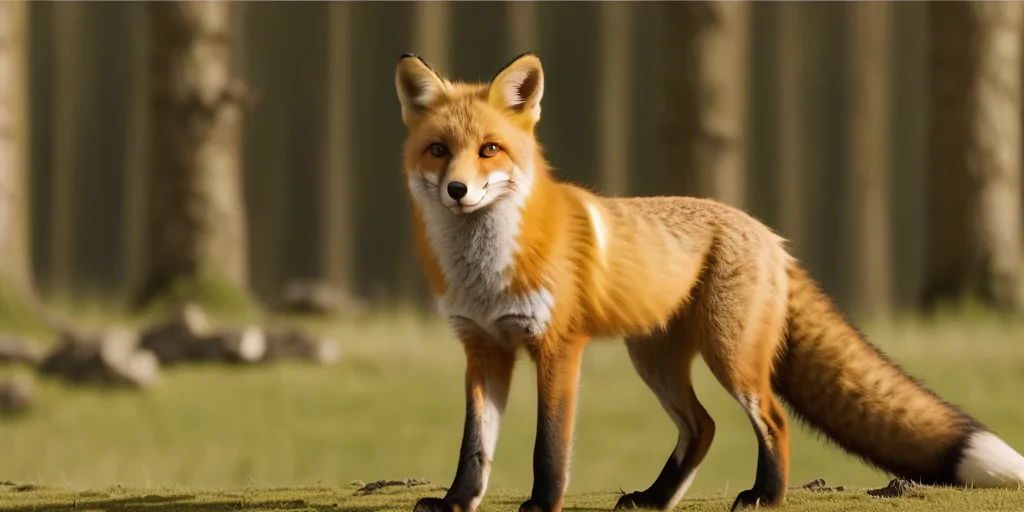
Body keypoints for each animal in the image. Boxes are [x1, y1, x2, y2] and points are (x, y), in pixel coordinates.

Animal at [393, 52, 1024, 512]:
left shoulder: (557, 347)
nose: (457, 191)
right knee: (703, 428)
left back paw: (765, 497)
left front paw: (542, 505)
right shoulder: (483, 350)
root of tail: (767, 232)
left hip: (732, 357)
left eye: (490, 150)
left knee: (771, 421)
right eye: (438, 151)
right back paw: (654, 499)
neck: (486, 270)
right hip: (655, 360)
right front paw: (455, 503)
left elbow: (549, 446)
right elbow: (474, 447)